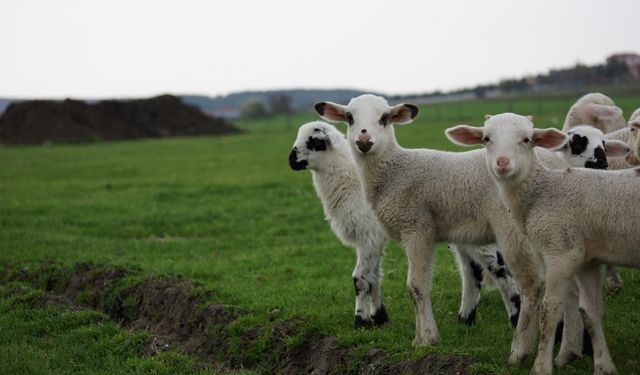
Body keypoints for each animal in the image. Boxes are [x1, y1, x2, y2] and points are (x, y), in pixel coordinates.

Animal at [288, 121, 520, 328]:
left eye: (315, 142)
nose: (291, 160)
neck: (351, 183)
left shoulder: (368, 236)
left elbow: (360, 278)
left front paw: (361, 321)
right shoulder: (374, 240)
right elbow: (374, 276)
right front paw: (378, 317)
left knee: (499, 269)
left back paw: (514, 318)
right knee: (474, 272)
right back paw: (465, 320)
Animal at [312, 94, 548, 364]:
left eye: (384, 118)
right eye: (350, 117)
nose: (364, 140)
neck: (394, 172)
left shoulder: (417, 227)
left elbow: (416, 287)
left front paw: (427, 338)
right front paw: (418, 337)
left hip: (513, 229)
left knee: (532, 285)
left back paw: (520, 350)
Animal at [444, 113, 636, 375]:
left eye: (527, 139)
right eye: (486, 138)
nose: (502, 162)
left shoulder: (562, 253)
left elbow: (552, 306)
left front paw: (552, 359)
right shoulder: (577, 257)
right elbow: (582, 306)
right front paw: (579, 354)